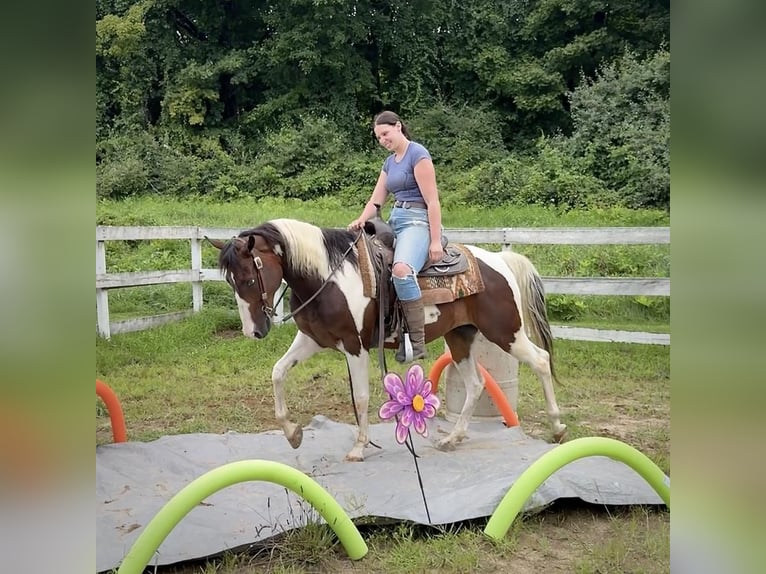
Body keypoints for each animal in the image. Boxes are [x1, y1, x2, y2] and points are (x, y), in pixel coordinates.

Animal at [207, 217, 568, 464]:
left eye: (248, 278)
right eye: (231, 281)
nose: (253, 331)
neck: (328, 278)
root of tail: (499, 260)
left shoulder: (354, 346)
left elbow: (362, 397)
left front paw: (358, 447)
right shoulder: (311, 340)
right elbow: (278, 373)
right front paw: (293, 434)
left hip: (506, 333)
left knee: (540, 360)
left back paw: (557, 427)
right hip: (460, 337)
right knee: (476, 384)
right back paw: (452, 438)